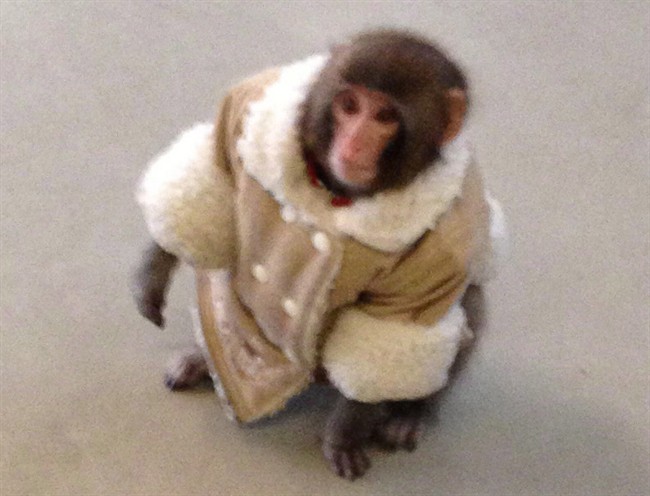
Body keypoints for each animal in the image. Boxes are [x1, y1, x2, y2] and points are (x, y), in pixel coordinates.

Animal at [133, 29, 507, 480]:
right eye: (350, 105)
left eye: (385, 116)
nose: (353, 143)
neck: (334, 192)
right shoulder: (243, 107)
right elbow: (213, 175)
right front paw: (153, 270)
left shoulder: (442, 254)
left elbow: (383, 339)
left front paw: (343, 436)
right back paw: (204, 358)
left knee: (465, 314)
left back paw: (409, 412)